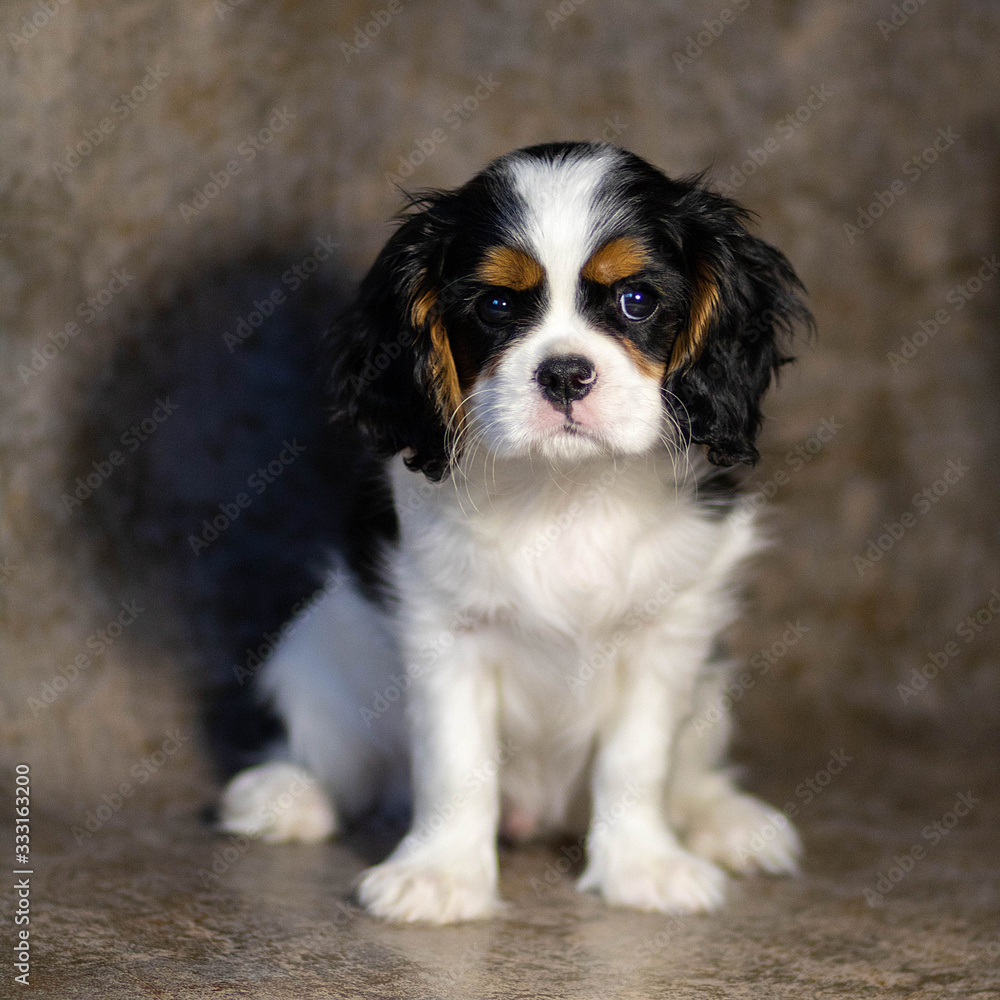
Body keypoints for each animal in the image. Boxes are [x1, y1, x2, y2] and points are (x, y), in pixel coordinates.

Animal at [217, 141, 814, 924]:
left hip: (709, 698)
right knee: (339, 760)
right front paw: (441, 876)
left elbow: (637, 761)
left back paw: (729, 821)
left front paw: (643, 868)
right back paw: (286, 794)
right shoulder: (447, 633)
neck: (567, 489)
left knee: (690, 771)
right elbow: (456, 761)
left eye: (637, 300)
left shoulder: (668, 637)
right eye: (496, 306)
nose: (564, 373)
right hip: (315, 656)